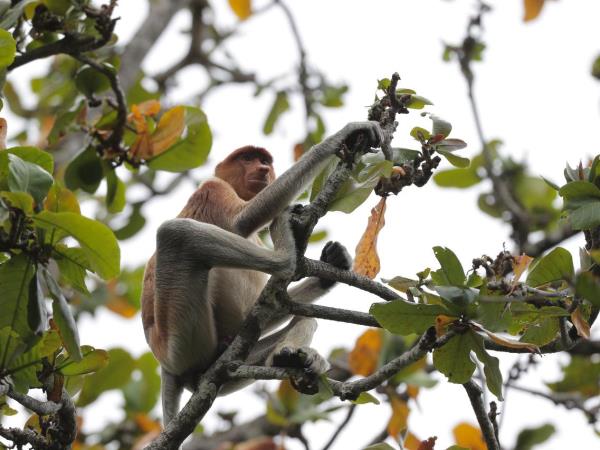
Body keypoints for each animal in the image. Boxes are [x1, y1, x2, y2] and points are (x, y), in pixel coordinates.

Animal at [141, 120, 382, 426]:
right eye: (247, 158)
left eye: (265, 161)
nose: (263, 169)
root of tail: (165, 365)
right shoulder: (212, 189)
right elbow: (241, 221)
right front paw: (340, 138)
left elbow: (263, 310)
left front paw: (333, 265)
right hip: (182, 340)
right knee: (177, 235)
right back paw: (286, 253)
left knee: (306, 321)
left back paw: (291, 359)